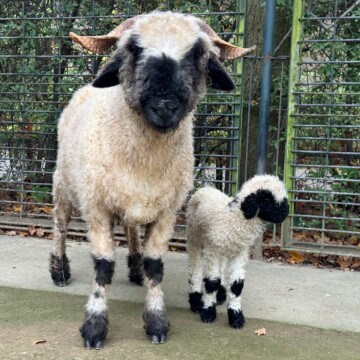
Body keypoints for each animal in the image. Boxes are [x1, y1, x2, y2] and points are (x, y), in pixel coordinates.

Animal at [48, 11, 256, 348]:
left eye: (198, 53)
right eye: (133, 48)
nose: (164, 105)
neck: (144, 161)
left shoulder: (167, 212)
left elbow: (155, 266)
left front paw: (157, 321)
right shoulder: (97, 208)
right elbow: (103, 268)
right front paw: (94, 326)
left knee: (131, 230)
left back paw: (134, 268)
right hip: (64, 183)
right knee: (60, 225)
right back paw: (59, 271)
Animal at [187, 174, 288, 330]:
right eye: (266, 198)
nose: (285, 213)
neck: (234, 218)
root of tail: (206, 188)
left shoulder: (239, 253)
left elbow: (236, 286)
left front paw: (236, 317)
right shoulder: (213, 250)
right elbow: (212, 282)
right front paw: (208, 312)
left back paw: (221, 295)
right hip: (194, 235)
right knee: (195, 268)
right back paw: (196, 301)